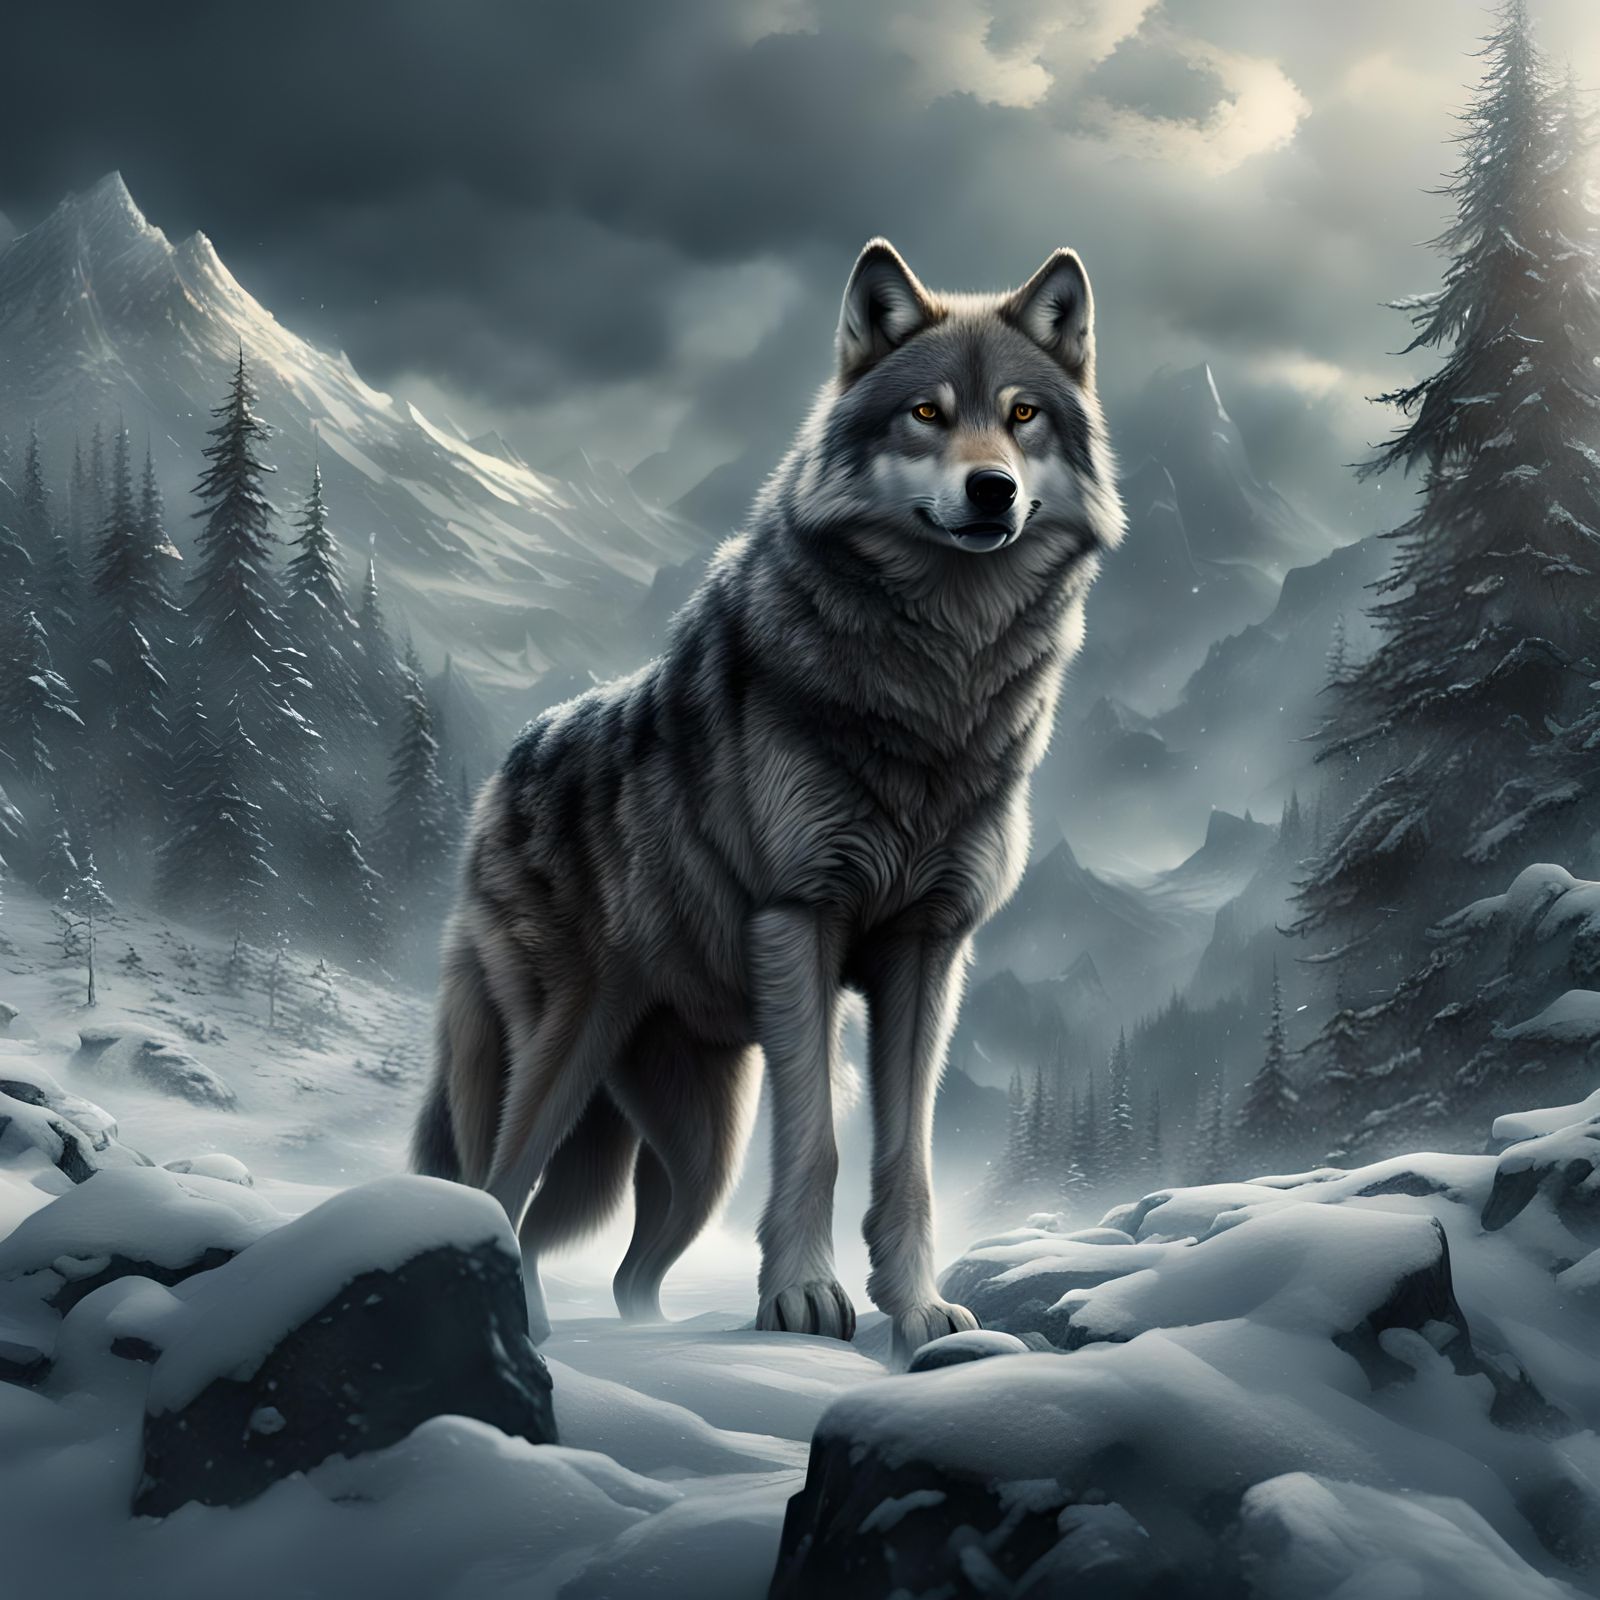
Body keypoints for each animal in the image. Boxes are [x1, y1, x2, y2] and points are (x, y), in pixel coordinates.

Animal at [412, 237, 1124, 1363]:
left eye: (1022, 415)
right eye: (926, 414)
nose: (992, 489)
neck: (935, 687)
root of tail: (505, 769)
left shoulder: (928, 951)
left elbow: (906, 1161)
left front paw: (916, 1310)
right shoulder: (802, 920)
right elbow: (819, 1144)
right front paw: (802, 1300)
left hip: (697, 1147)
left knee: (625, 1268)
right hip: (561, 1061)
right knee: (498, 1190)